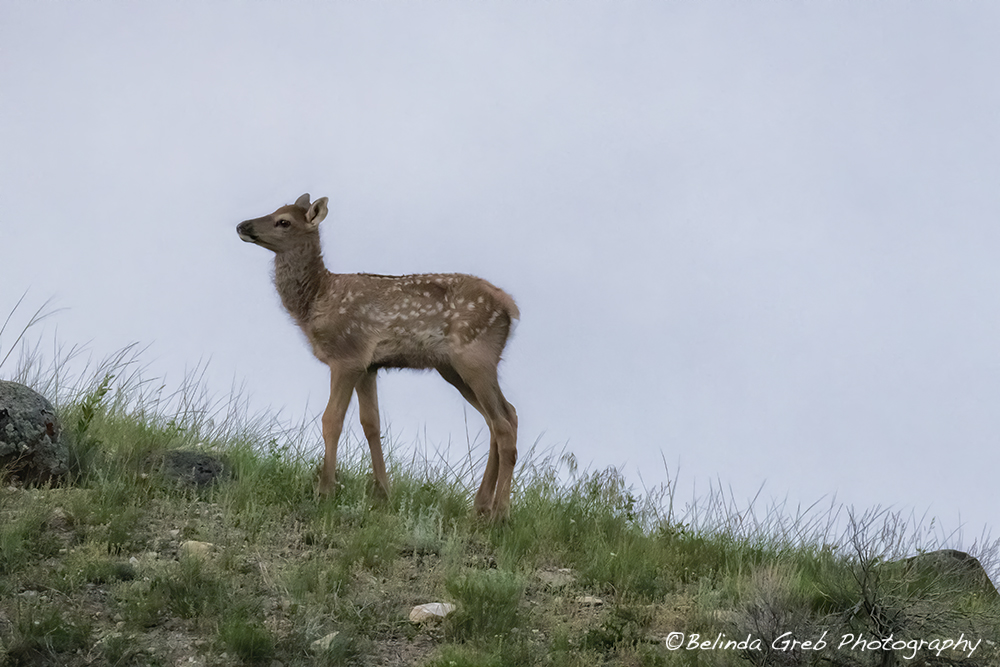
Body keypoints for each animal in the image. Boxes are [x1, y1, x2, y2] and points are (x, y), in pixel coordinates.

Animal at [236, 194, 519, 520]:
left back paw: (500, 513)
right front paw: (382, 493)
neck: (317, 300)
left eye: (283, 221)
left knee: (503, 422)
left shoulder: (347, 356)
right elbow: (371, 423)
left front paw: (325, 490)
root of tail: (510, 307)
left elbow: (332, 419)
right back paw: (481, 506)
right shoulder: (368, 365)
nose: (242, 225)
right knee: (502, 416)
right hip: (452, 368)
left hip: (475, 357)